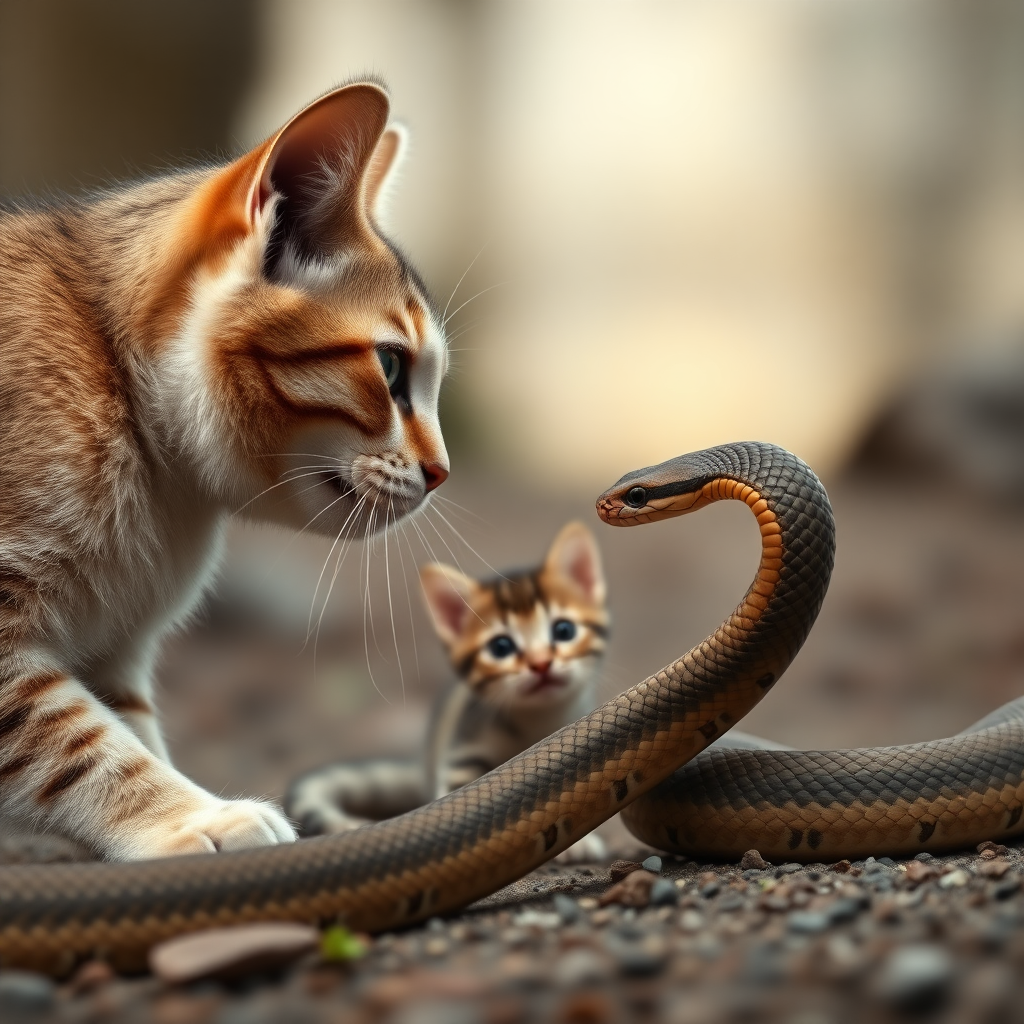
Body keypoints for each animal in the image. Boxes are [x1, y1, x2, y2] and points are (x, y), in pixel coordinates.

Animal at [0, 83, 448, 860]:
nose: (444, 470)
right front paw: (191, 818)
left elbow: (119, 728)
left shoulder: (113, 649)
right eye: (390, 367)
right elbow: (77, 745)